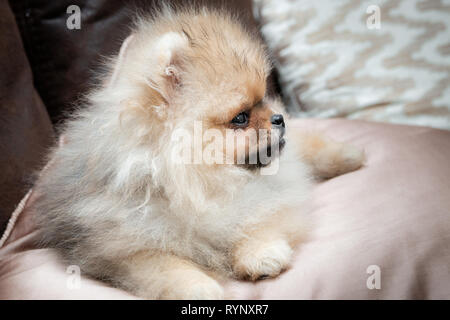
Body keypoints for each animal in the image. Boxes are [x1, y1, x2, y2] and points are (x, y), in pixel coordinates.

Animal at [34, 6, 366, 300]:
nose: (278, 117)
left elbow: (259, 219)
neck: (198, 188)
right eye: (241, 117)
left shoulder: (270, 197)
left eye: (263, 98)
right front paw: (198, 287)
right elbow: (163, 265)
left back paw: (348, 156)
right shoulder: (115, 249)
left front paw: (261, 254)